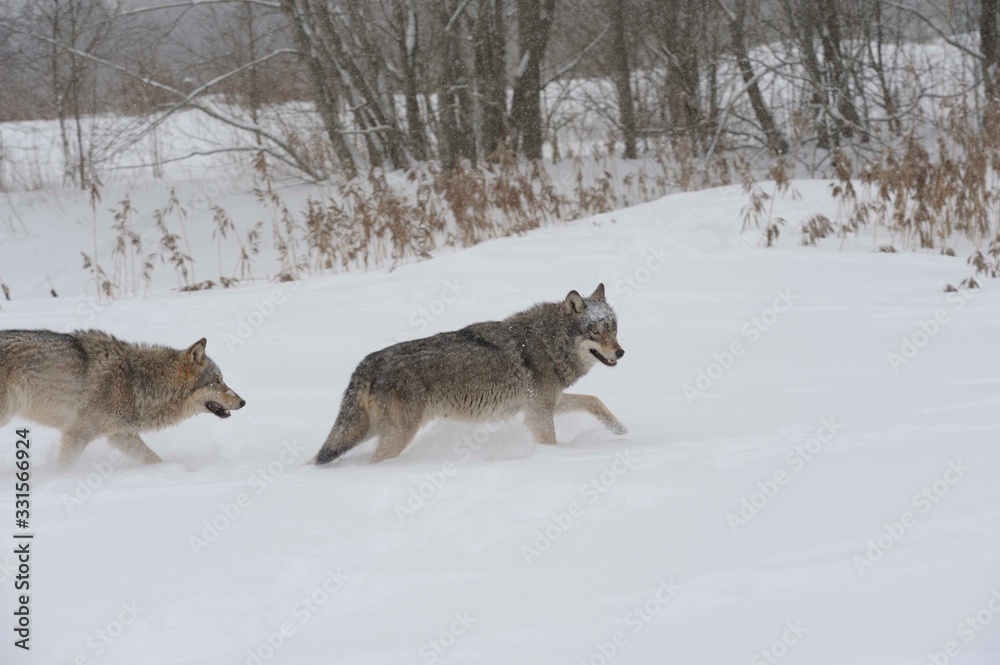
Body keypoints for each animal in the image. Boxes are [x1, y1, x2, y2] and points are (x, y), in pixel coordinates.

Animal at [0, 330, 245, 469]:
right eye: (217, 381)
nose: (243, 402)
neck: (137, 383)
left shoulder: (120, 435)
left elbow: (153, 459)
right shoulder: (77, 433)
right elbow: (65, 467)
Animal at [313, 284, 626, 465]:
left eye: (613, 328)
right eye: (595, 332)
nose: (621, 352)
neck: (549, 343)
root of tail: (366, 364)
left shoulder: (548, 403)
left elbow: (594, 401)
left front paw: (621, 431)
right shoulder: (538, 414)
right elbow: (550, 442)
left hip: (368, 432)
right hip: (395, 435)